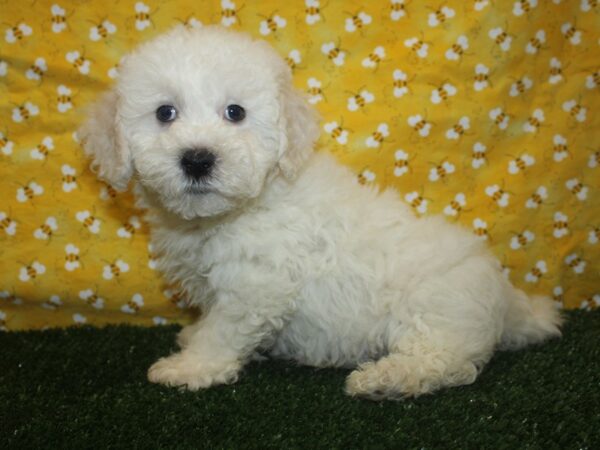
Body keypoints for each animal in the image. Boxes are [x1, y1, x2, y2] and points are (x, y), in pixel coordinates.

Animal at [81, 26, 564, 400]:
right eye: (165, 113)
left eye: (235, 112)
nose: (198, 159)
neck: (235, 210)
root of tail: (507, 297)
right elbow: (210, 323)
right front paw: (191, 339)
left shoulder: (255, 284)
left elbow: (222, 332)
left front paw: (191, 367)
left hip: (435, 311)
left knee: (445, 364)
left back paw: (385, 380)